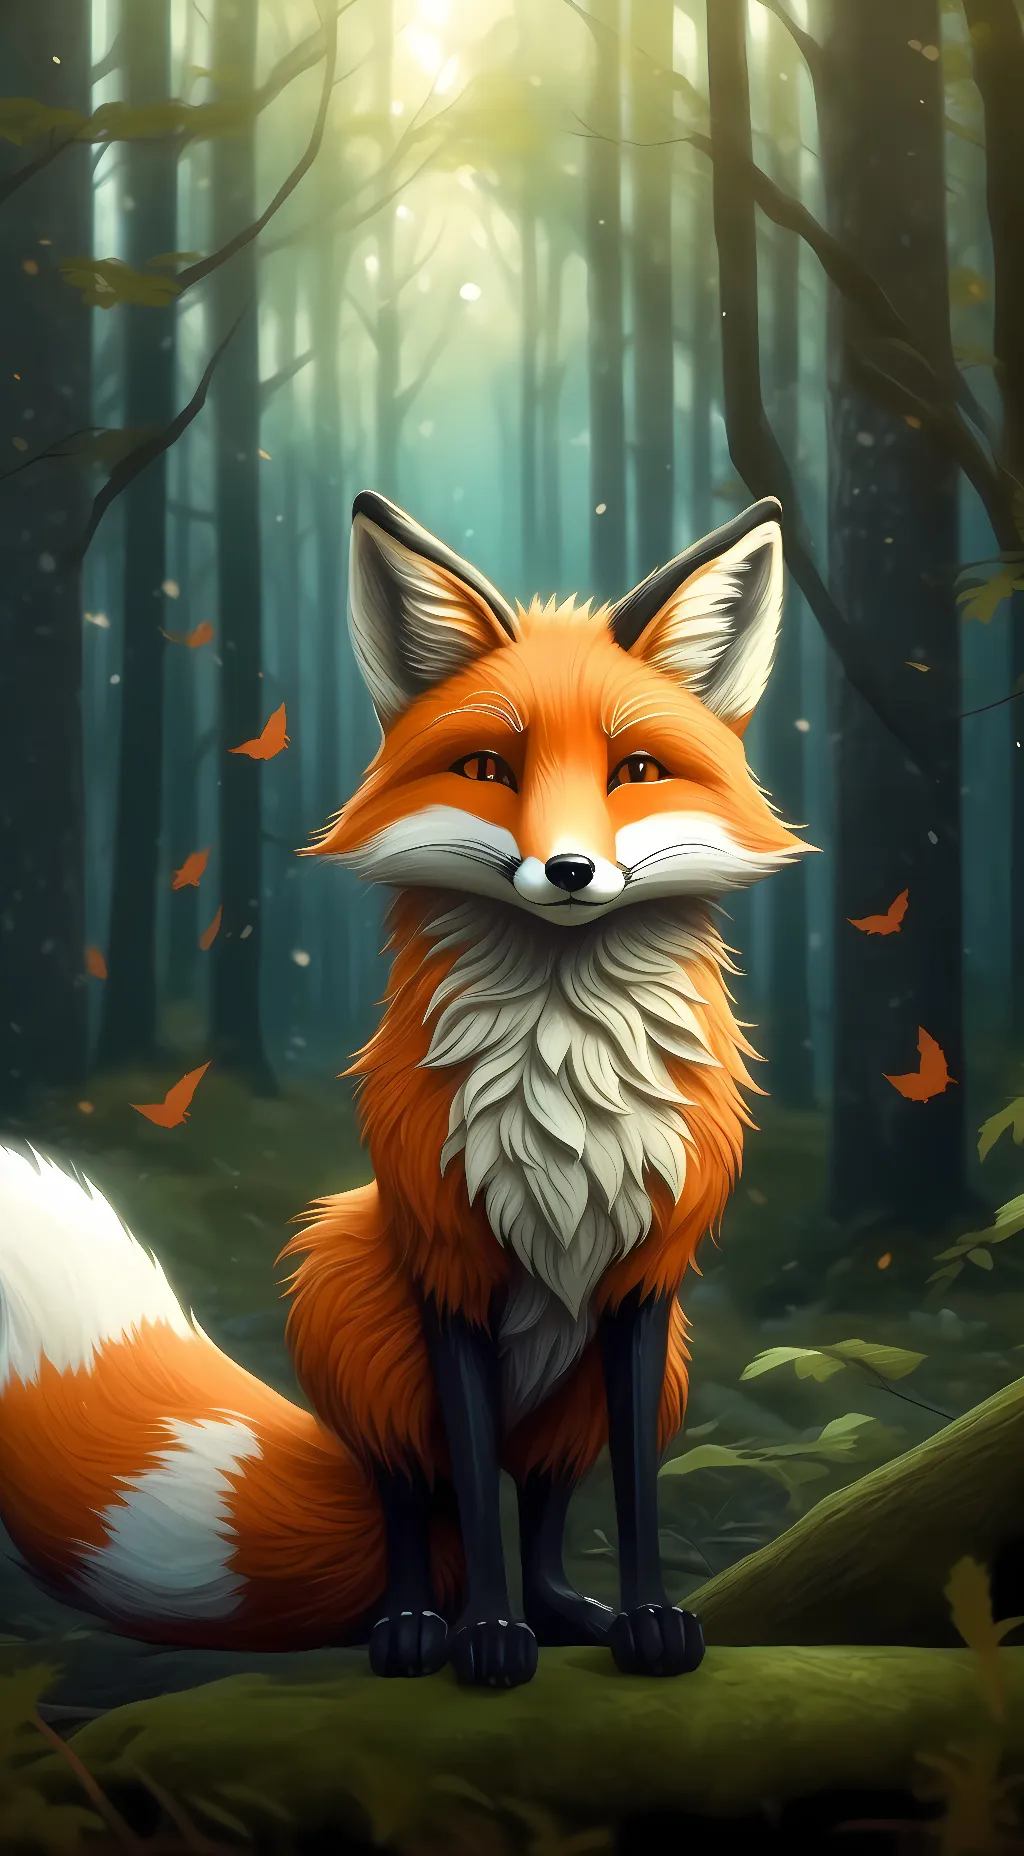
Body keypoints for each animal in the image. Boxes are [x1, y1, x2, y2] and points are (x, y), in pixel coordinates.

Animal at [0, 490, 806, 1690]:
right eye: (487, 769)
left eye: (634, 771)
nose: (572, 871)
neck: (564, 1082)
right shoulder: (449, 1271)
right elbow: (465, 1484)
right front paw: (482, 1638)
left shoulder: (642, 1285)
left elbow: (634, 1497)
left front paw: (651, 1616)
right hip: (351, 1307)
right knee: (414, 1507)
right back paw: (418, 1622)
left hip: (628, 1386)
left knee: (545, 1516)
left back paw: (570, 1614)